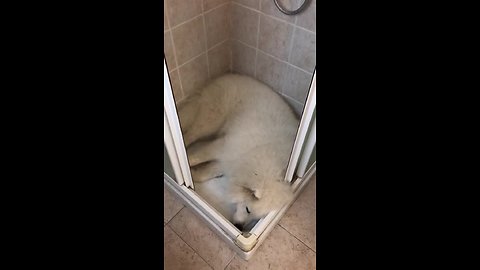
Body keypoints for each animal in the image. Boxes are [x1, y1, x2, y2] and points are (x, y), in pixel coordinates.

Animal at [178, 74, 300, 230]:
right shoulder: (223, 146)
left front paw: (193, 175)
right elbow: (196, 157)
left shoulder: (231, 162)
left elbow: (208, 172)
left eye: (256, 218)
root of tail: (228, 75)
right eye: (248, 209)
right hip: (210, 122)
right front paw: (187, 167)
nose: (239, 227)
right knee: (189, 135)